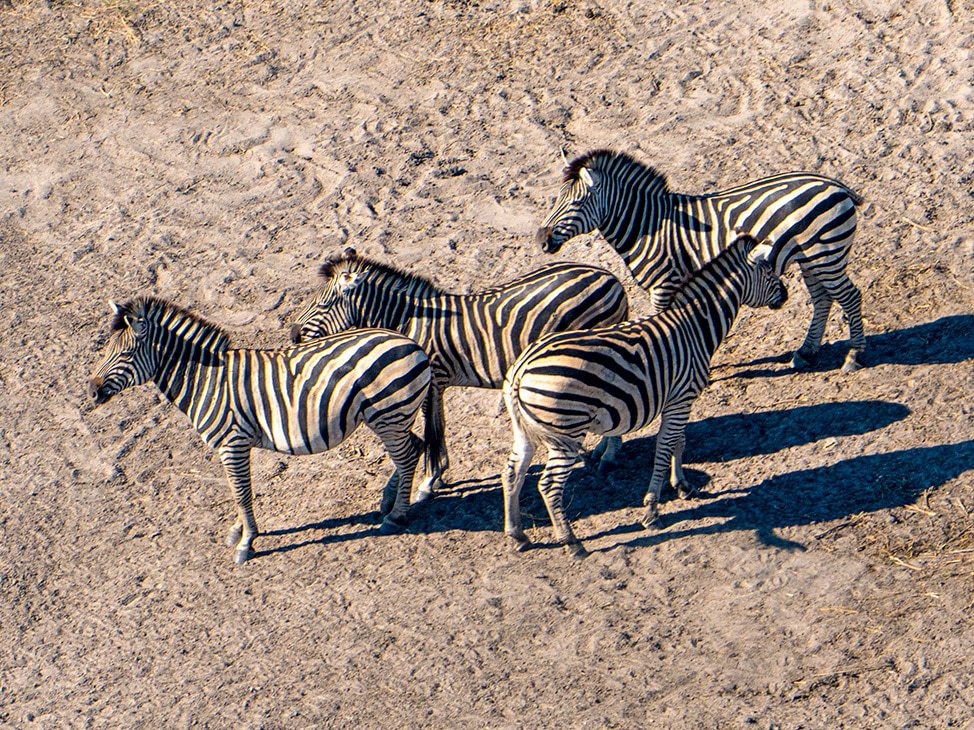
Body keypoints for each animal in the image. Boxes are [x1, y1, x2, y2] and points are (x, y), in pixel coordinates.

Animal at [87, 296, 438, 564]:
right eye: (105, 350)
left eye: (125, 354)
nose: (91, 390)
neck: (205, 380)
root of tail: (413, 343)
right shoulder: (232, 447)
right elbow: (236, 490)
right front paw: (238, 530)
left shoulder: (233, 443)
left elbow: (241, 493)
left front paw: (247, 542)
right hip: (393, 416)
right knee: (416, 447)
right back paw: (390, 501)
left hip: (388, 414)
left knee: (407, 456)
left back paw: (396, 516)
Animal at [290, 248, 631, 502]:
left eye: (323, 305)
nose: (293, 334)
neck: (409, 321)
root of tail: (610, 277)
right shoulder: (436, 383)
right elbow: (435, 428)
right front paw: (435, 478)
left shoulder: (431, 381)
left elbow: (433, 431)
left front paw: (429, 482)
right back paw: (605, 449)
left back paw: (609, 455)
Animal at [501, 234, 788, 557]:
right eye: (768, 271)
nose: (786, 295)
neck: (695, 327)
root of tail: (521, 369)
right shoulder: (681, 397)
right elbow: (664, 448)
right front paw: (652, 510)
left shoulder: (679, 399)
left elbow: (679, 442)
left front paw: (682, 485)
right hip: (567, 430)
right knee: (550, 484)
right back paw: (572, 542)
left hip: (524, 428)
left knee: (512, 471)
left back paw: (518, 535)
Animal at [536, 149, 866, 373]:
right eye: (555, 200)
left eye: (577, 203)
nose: (541, 239)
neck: (649, 226)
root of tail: (835, 184)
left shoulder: (664, 284)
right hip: (812, 259)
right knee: (823, 299)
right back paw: (806, 352)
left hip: (826, 254)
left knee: (850, 297)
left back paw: (854, 356)